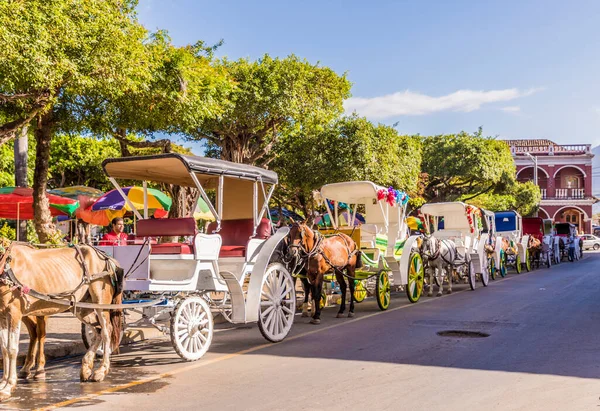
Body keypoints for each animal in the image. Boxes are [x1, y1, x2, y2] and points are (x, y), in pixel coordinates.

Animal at [0, 241, 123, 402]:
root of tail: (107, 258)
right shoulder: (3, 315)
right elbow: (4, 349)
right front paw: (3, 384)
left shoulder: (14, 313)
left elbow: (12, 350)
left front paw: (9, 386)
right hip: (83, 307)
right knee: (98, 331)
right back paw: (86, 367)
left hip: (101, 303)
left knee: (107, 332)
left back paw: (101, 371)